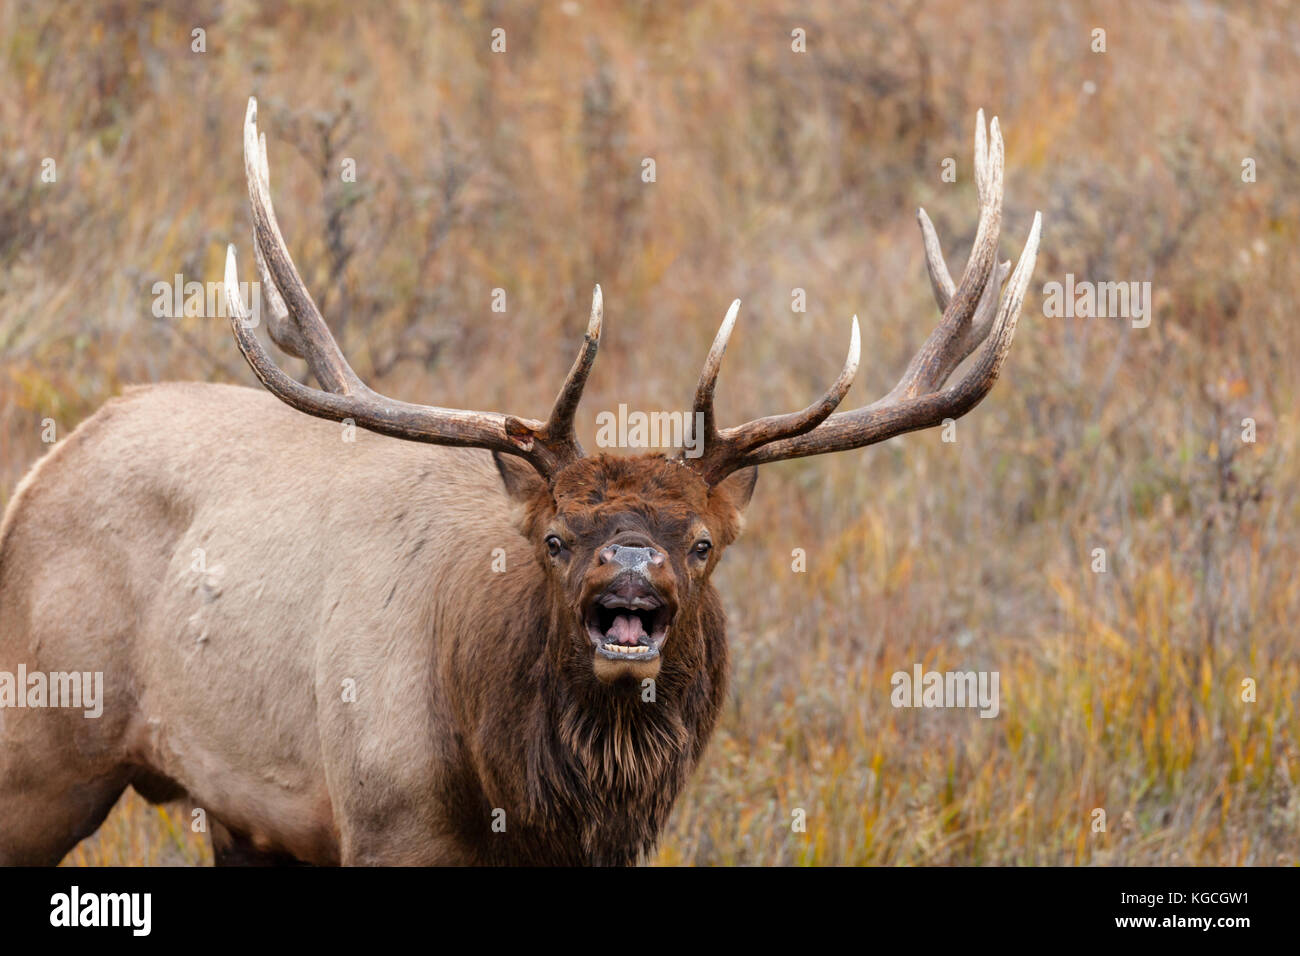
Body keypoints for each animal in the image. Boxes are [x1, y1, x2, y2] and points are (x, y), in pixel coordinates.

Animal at [0, 98, 1039, 866]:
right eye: (553, 539)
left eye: (703, 543)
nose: (632, 575)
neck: (511, 797)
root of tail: (41, 471)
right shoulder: (386, 823)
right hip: (41, 743)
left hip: (241, 816)